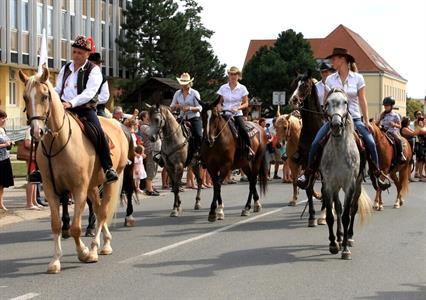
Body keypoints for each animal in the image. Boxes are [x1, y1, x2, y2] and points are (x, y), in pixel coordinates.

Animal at [18, 68, 128, 274]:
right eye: (25, 97)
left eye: (45, 96)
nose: (37, 132)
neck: (58, 143)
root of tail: (118, 125)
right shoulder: (52, 190)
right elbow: (56, 225)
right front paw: (55, 261)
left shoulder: (78, 189)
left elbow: (76, 227)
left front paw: (84, 252)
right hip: (92, 186)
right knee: (98, 208)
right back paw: (103, 243)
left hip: (110, 181)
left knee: (102, 213)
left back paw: (96, 248)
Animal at [322, 89, 372, 260]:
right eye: (327, 103)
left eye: (345, 102)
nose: (336, 125)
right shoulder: (329, 185)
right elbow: (331, 215)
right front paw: (333, 244)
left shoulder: (350, 184)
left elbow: (346, 215)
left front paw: (344, 250)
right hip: (336, 187)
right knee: (337, 208)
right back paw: (339, 237)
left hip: (357, 185)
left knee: (352, 209)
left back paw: (348, 237)